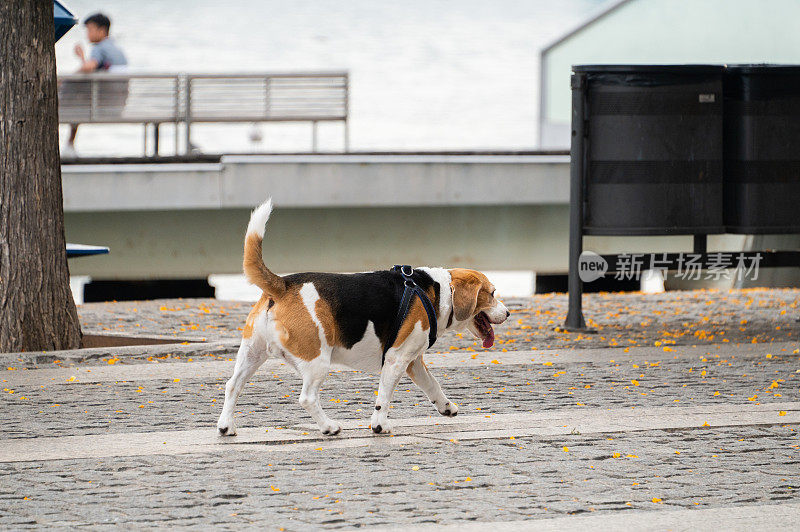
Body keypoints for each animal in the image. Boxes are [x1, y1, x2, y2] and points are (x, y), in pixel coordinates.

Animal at [216, 200, 510, 436]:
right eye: (492, 293)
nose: (508, 313)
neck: (435, 290)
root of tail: (282, 285)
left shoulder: (413, 361)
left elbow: (433, 385)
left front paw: (446, 407)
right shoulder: (396, 359)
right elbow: (384, 397)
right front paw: (379, 425)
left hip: (251, 354)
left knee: (232, 386)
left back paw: (226, 426)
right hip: (317, 361)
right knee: (307, 398)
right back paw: (329, 427)